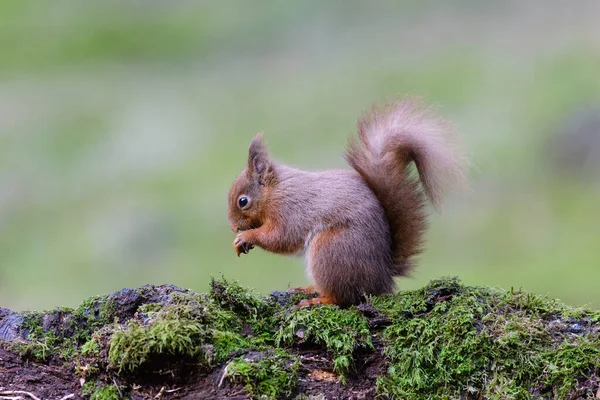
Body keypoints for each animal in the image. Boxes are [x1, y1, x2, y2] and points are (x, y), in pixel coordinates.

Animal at [227, 99, 466, 306]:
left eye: (243, 201)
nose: (233, 227)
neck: (274, 191)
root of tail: (382, 278)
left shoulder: (289, 209)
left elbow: (281, 237)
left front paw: (246, 237)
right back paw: (309, 289)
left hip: (330, 250)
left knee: (342, 297)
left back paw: (318, 300)